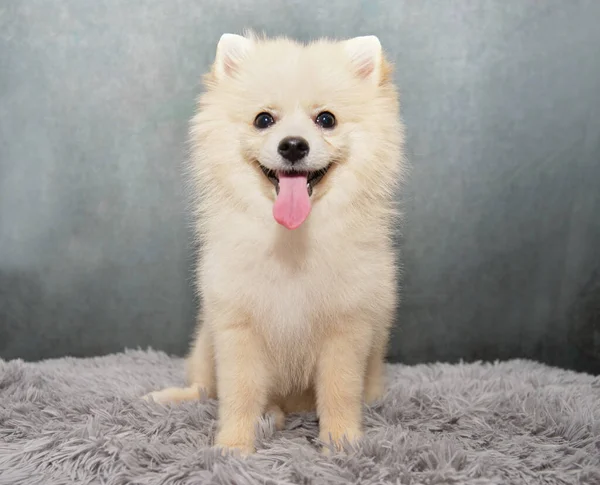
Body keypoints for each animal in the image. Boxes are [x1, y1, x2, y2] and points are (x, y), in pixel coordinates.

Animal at [145, 31, 406, 454]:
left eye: (326, 119)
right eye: (263, 120)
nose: (294, 145)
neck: (292, 240)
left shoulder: (346, 329)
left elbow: (339, 391)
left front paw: (341, 443)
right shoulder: (238, 328)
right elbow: (239, 393)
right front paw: (233, 445)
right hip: (204, 346)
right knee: (204, 387)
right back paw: (172, 397)